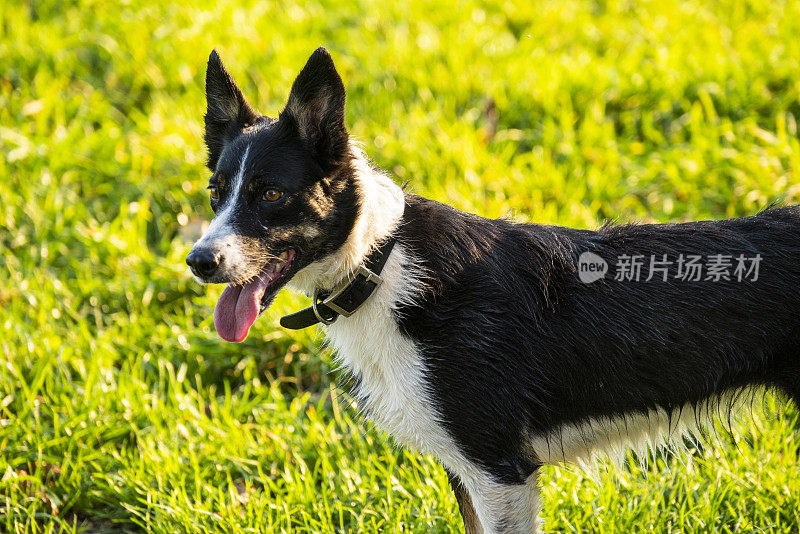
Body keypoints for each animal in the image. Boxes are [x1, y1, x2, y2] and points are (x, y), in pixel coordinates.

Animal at [186, 48, 800, 532]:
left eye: (270, 194)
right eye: (216, 193)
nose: (197, 261)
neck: (379, 263)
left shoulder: (499, 473)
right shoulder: (469, 473)